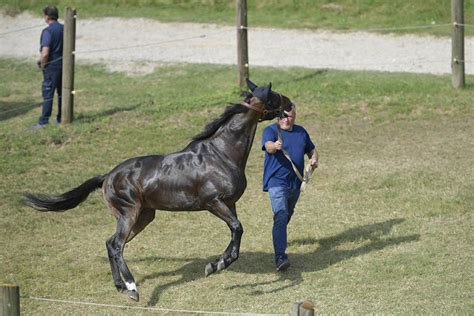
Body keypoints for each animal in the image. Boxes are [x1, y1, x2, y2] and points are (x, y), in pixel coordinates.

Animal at [24, 79, 294, 302]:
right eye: (274, 96)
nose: (291, 105)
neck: (222, 153)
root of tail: (107, 176)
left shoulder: (230, 203)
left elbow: (235, 233)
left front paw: (216, 264)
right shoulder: (213, 203)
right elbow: (237, 228)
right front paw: (219, 264)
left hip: (144, 216)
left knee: (110, 243)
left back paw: (119, 286)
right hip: (130, 213)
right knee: (117, 245)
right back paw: (132, 288)